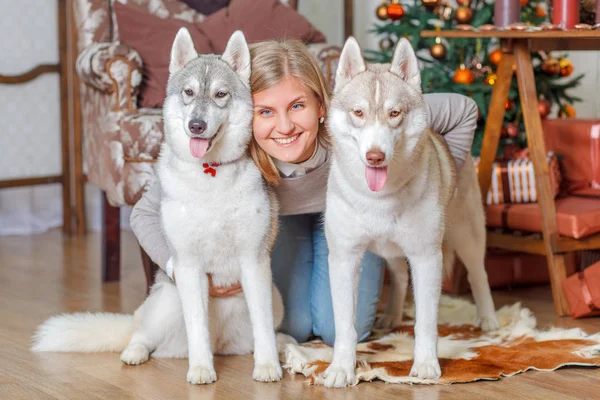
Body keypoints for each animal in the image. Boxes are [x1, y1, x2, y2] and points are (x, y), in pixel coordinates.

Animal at [32, 28, 286, 384]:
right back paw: (135, 352)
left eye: (221, 94)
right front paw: (201, 368)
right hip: (167, 298)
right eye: (188, 92)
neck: (210, 173)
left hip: (274, 297)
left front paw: (267, 366)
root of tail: (223, 344)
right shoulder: (188, 267)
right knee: (141, 335)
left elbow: (262, 326)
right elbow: (197, 327)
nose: (196, 125)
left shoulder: (254, 263)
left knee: (267, 332)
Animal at [322, 38, 500, 388]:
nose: (375, 156)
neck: (379, 198)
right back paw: (391, 315)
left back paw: (487, 317)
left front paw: (427, 365)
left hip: (466, 234)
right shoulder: (344, 258)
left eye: (395, 113)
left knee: (479, 272)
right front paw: (341, 368)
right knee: (400, 276)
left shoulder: (427, 256)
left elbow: (425, 322)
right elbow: (345, 326)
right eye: (358, 112)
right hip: (390, 249)